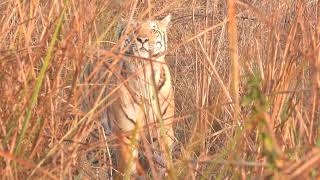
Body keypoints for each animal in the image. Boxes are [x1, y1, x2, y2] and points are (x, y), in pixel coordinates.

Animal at [102, 14, 175, 178]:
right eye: (133, 29)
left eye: (153, 30)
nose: (142, 39)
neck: (144, 72)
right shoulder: (126, 133)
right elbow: (128, 168)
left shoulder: (164, 129)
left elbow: (164, 161)